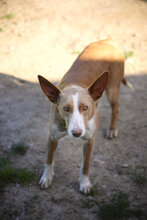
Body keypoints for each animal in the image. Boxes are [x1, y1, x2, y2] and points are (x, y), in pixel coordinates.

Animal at [37, 38, 131, 193]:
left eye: (85, 107)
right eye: (66, 108)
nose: (76, 133)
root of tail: (107, 40)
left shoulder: (89, 141)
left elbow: (85, 165)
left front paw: (85, 183)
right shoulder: (52, 136)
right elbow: (49, 160)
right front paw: (47, 178)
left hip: (112, 89)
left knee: (116, 107)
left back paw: (112, 129)